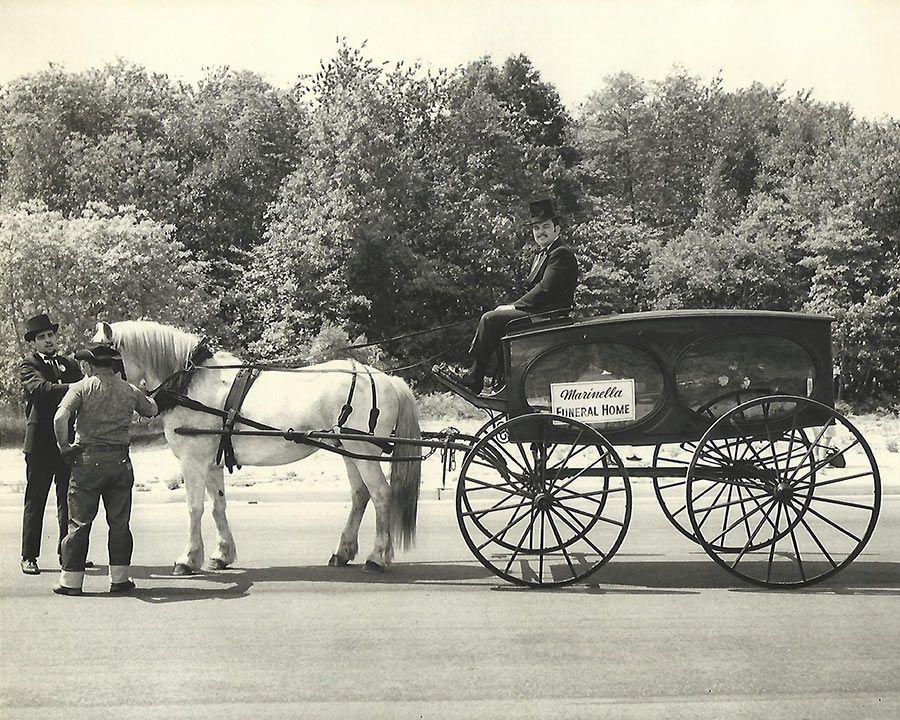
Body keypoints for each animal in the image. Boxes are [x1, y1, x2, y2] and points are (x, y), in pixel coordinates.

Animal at [93, 320, 424, 572]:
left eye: (100, 356)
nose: (88, 385)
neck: (190, 382)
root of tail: (386, 379)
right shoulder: (211, 462)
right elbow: (219, 506)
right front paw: (222, 554)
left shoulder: (193, 461)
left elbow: (194, 508)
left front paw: (188, 559)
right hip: (349, 451)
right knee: (360, 495)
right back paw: (342, 552)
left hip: (364, 453)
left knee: (381, 495)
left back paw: (377, 557)